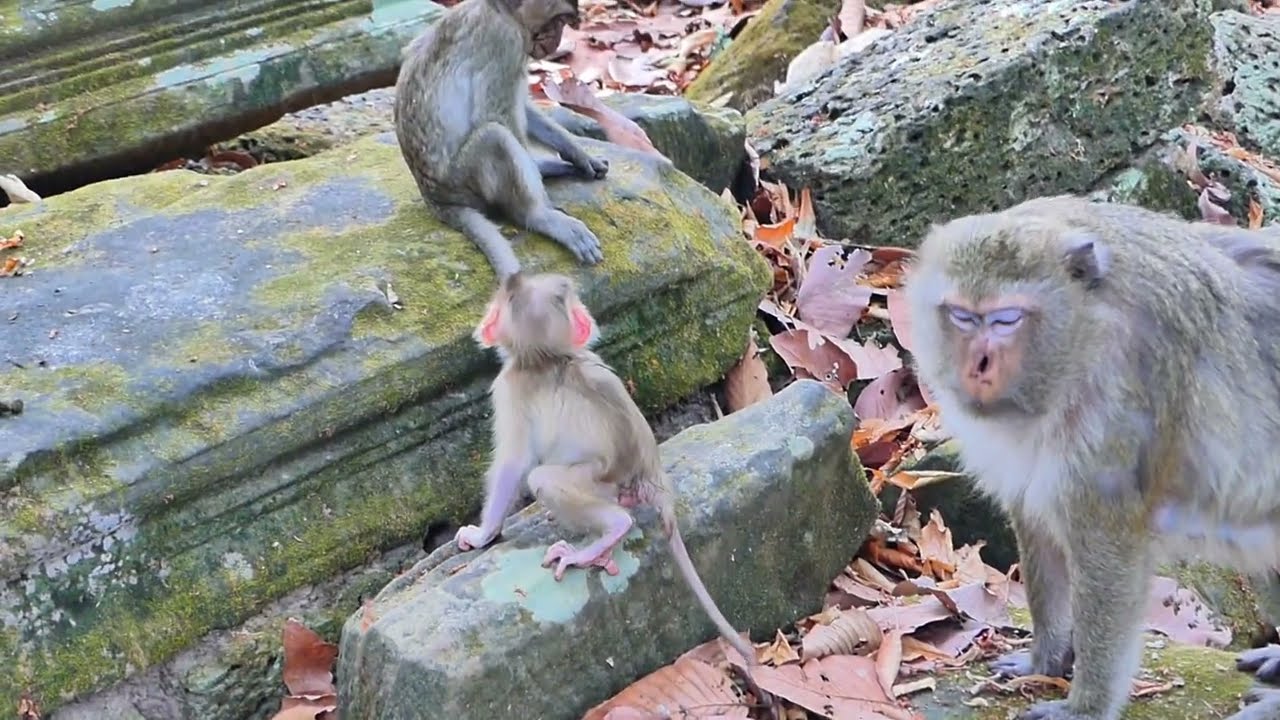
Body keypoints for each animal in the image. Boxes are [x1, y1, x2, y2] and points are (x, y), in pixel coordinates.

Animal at [392, 0, 610, 282]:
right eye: (559, 21)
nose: (557, 40)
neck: (502, 11)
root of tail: (434, 199)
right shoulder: (506, 43)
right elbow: (494, 115)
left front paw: (578, 153)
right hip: (461, 182)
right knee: (495, 137)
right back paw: (538, 214)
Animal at [455, 271, 765, 683]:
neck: (544, 358)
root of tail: (652, 480)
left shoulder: (510, 389)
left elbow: (513, 464)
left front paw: (482, 533)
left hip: (599, 482)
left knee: (545, 479)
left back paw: (606, 533)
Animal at [902, 194, 1280, 720]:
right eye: (962, 316)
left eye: (1006, 320)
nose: (978, 366)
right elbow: (1038, 530)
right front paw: (1045, 658)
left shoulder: (1119, 409)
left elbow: (1110, 554)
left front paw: (1086, 706)